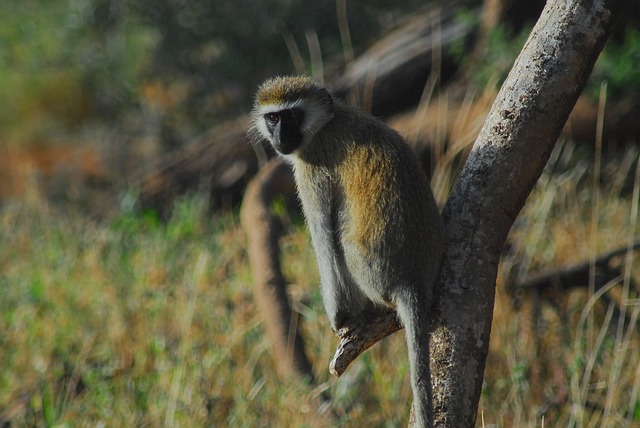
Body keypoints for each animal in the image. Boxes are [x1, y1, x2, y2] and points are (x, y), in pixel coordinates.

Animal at [250, 75, 444, 426]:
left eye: (292, 116)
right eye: (273, 118)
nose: (281, 137)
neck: (328, 122)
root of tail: (412, 280)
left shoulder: (311, 168)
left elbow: (324, 239)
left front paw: (338, 316)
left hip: (371, 274)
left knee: (340, 236)